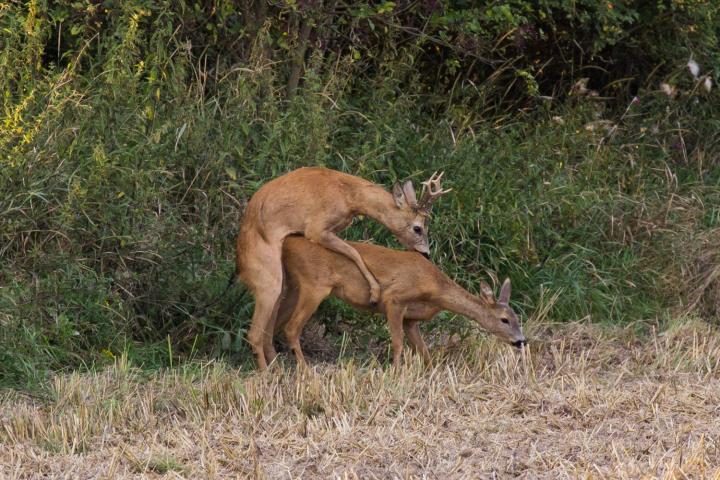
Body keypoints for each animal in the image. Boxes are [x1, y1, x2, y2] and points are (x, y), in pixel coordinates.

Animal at [236, 167, 450, 370]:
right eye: (417, 228)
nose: (425, 254)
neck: (349, 196)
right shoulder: (317, 229)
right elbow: (354, 251)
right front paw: (374, 293)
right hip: (268, 280)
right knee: (255, 333)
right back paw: (267, 372)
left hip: (279, 282)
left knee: (267, 331)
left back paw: (277, 369)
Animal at [272, 236, 524, 368]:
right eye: (504, 319)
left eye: (517, 318)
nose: (522, 341)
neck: (435, 290)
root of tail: (287, 244)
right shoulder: (394, 299)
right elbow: (398, 343)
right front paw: (395, 371)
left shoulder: (411, 318)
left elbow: (424, 350)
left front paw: (431, 372)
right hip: (314, 285)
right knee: (291, 327)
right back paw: (304, 370)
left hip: (294, 287)